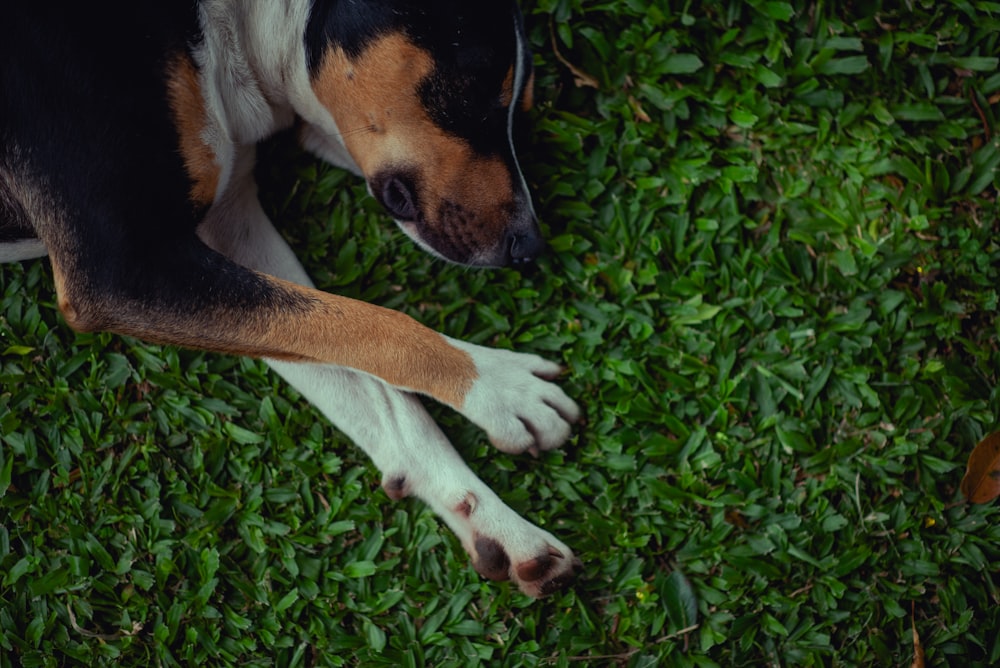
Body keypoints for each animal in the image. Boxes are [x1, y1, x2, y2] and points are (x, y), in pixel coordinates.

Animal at [0, 0, 584, 596]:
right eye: (475, 85)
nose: (530, 245)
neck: (229, 24)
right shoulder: (121, 266)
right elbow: (384, 326)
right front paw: (501, 388)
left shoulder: (226, 227)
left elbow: (373, 381)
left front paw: (495, 521)